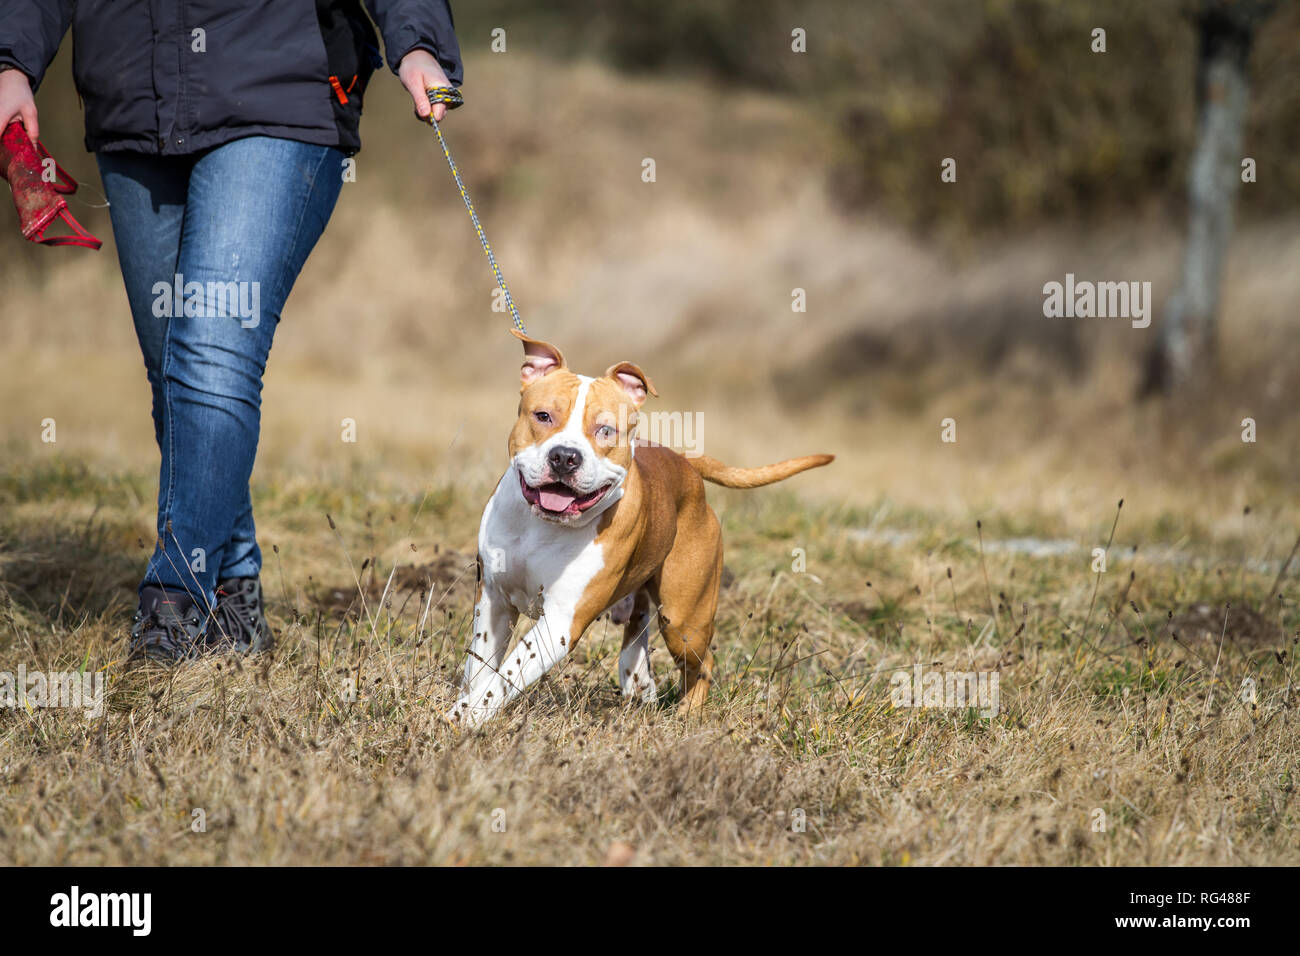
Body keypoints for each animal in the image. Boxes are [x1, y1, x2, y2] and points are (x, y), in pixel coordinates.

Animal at [447, 330, 832, 723]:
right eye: (543, 416)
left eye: (605, 430)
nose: (565, 457)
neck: (545, 525)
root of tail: (685, 462)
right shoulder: (494, 600)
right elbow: (481, 667)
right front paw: (468, 707)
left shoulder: (561, 620)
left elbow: (506, 673)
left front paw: (464, 716)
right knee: (638, 628)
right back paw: (639, 682)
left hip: (684, 621)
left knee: (702, 662)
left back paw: (686, 715)